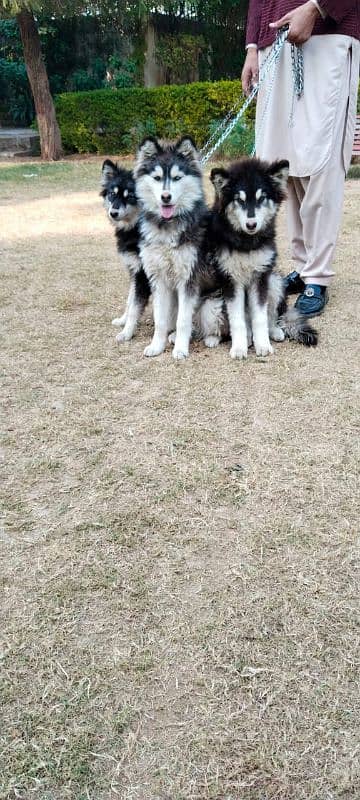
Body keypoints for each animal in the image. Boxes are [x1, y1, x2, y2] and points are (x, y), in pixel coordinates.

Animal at [100, 159, 151, 340]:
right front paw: (123, 321)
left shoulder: (143, 275)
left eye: (130, 196)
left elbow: (135, 306)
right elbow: (130, 300)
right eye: (112, 194)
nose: (113, 213)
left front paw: (127, 333)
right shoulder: (133, 270)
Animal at [134, 136, 211, 360]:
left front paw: (181, 349)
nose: (165, 197)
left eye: (177, 178)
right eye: (157, 178)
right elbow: (160, 320)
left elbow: (183, 320)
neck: (167, 228)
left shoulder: (189, 279)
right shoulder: (158, 279)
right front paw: (156, 346)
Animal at [210, 158, 316, 358]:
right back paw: (248, 338)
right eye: (239, 200)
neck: (247, 243)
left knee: (272, 315)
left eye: (261, 198)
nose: (251, 224)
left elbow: (260, 316)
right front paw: (239, 347)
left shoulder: (260, 277)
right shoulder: (230, 280)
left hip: (274, 281)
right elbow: (238, 319)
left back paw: (274, 331)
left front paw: (263, 345)